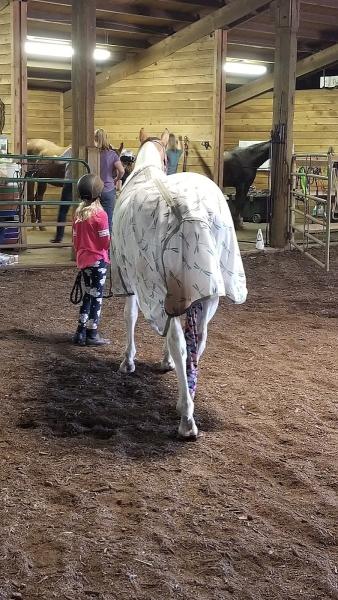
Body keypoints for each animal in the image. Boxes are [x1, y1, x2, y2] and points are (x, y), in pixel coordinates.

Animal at [111, 129, 248, 438]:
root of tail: (191, 212)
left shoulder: (131, 279)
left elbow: (130, 316)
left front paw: (128, 361)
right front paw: (166, 363)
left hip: (165, 287)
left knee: (179, 341)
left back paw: (186, 418)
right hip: (207, 293)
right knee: (199, 341)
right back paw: (186, 401)